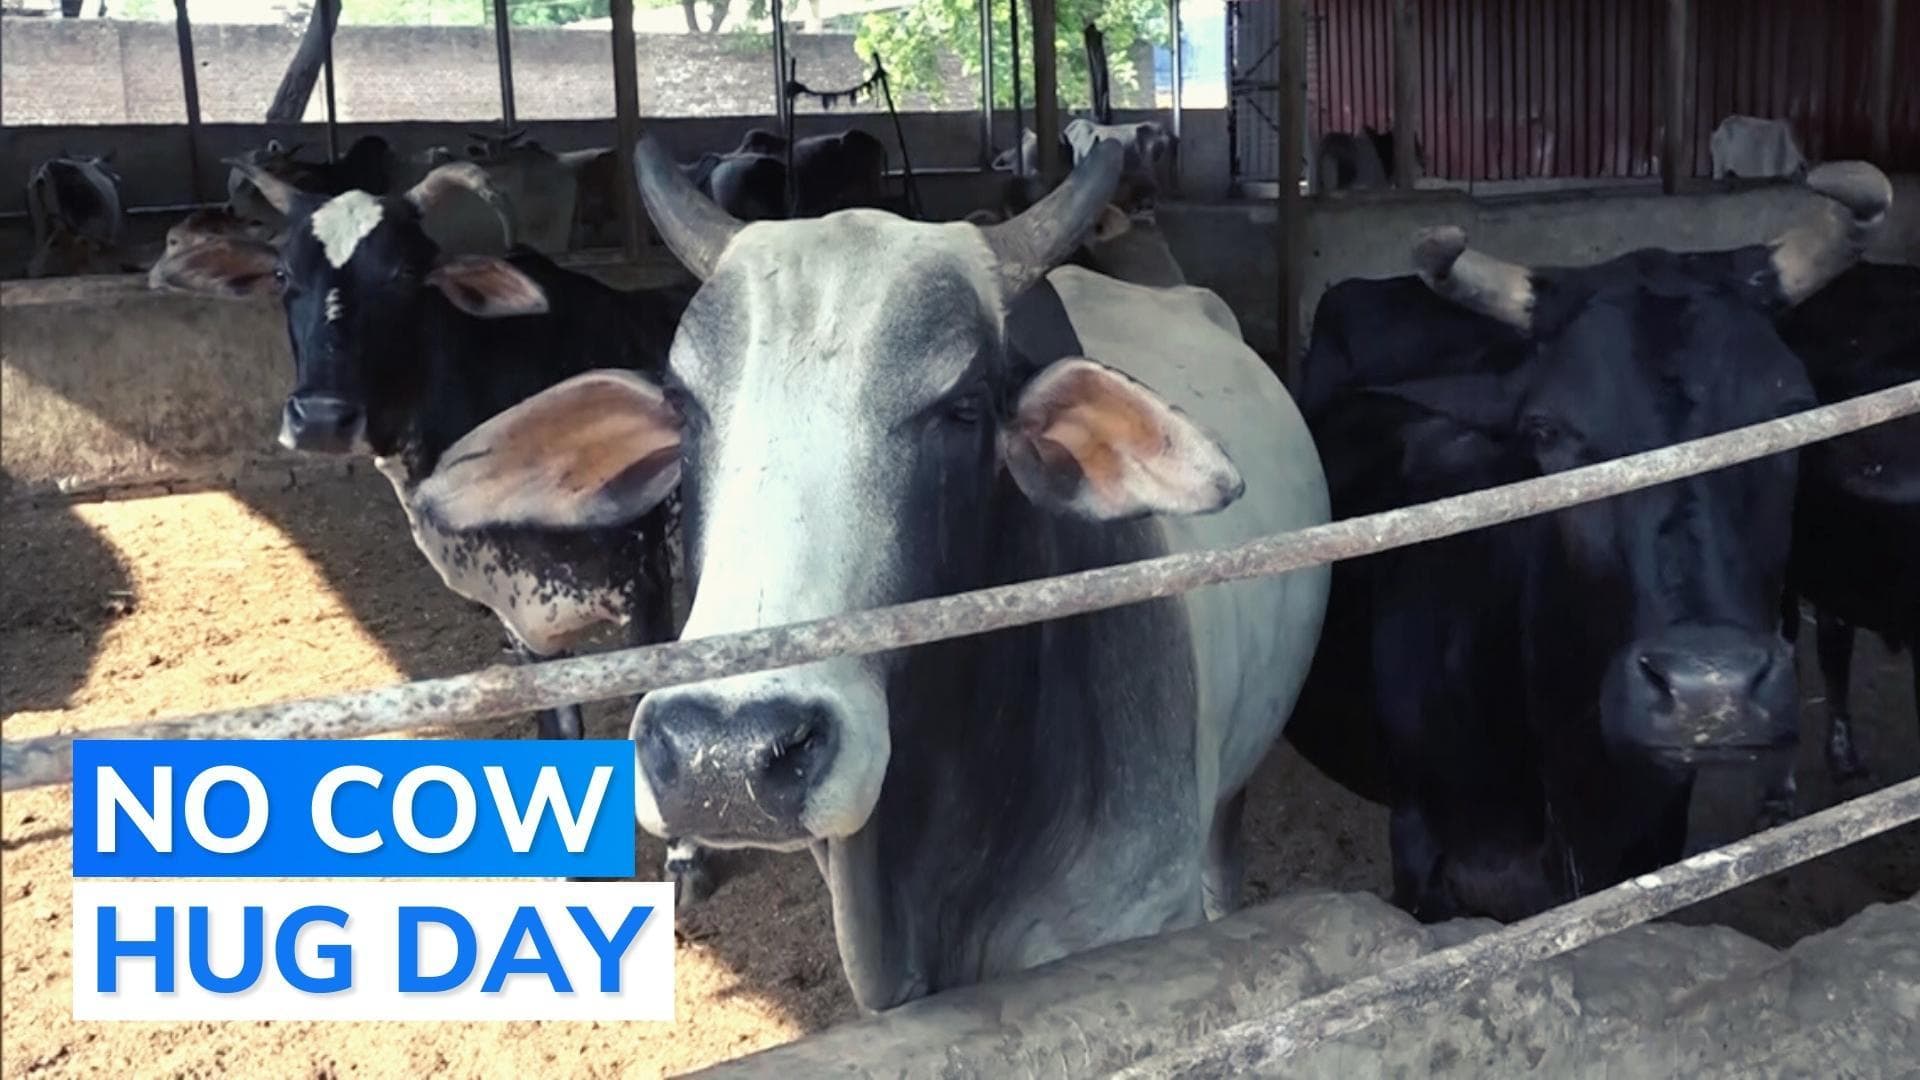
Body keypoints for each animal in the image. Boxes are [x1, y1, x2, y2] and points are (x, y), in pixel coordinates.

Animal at [145, 158, 712, 898]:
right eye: (283, 275)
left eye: (403, 276)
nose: (321, 417)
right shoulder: (522, 624)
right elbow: (560, 731)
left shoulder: (645, 591)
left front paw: (686, 860)